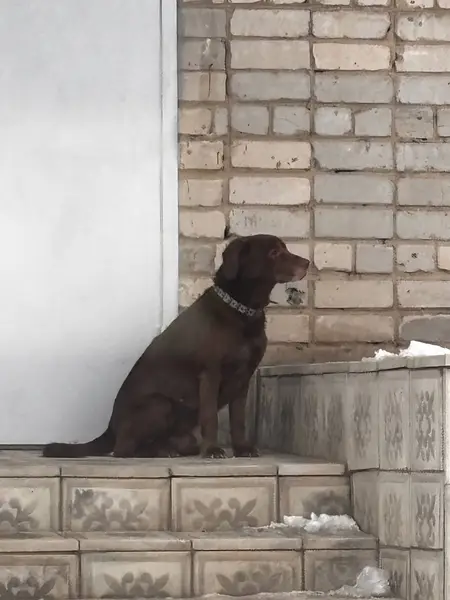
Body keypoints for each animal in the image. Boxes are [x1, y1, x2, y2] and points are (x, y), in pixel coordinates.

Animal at [43, 234, 310, 459]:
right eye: (274, 252)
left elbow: (238, 420)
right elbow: (210, 417)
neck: (242, 311)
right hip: (160, 404)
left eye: (285, 248)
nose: (307, 263)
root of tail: (110, 429)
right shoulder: (210, 374)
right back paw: (158, 452)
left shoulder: (243, 379)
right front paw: (212, 450)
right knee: (123, 450)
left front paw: (243, 449)